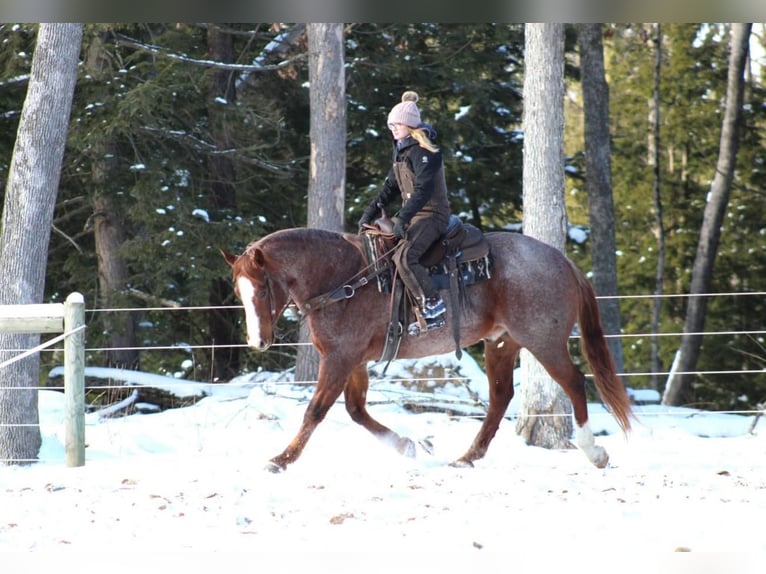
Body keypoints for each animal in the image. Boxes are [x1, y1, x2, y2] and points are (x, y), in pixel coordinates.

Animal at [224, 227, 636, 474]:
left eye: (262, 289)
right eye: (238, 291)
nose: (257, 342)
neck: (343, 281)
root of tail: (562, 261)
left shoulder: (339, 360)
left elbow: (315, 411)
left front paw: (282, 459)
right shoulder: (353, 361)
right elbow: (356, 411)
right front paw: (405, 445)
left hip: (544, 342)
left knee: (575, 382)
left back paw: (593, 452)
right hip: (502, 344)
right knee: (500, 397)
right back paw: (468, 457)